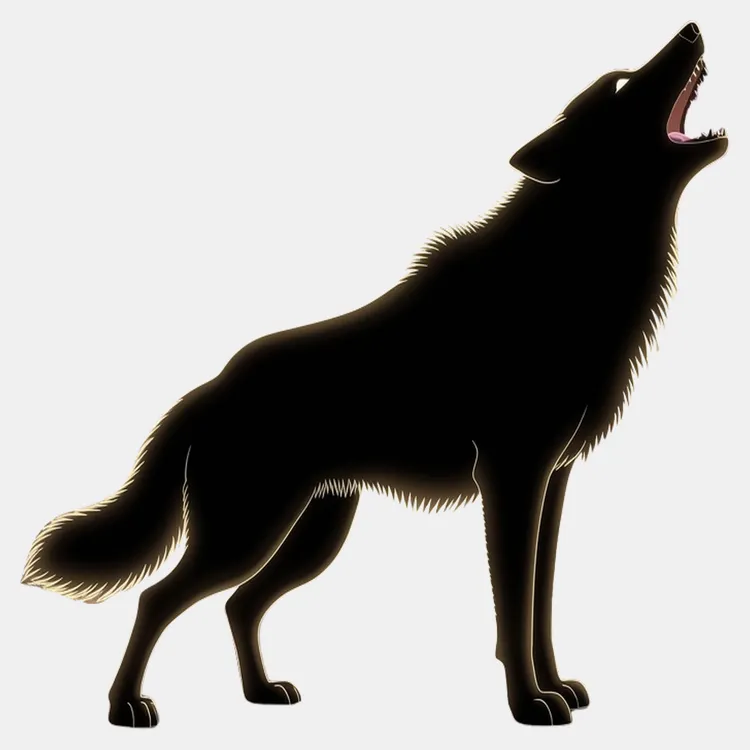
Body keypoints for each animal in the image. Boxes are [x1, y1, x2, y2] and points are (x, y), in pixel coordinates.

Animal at [22, 22, 727, 727]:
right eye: (623, 84)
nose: (692, 28)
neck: (576, 262)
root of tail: (206, 392)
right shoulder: (514, 479)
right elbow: (514, 608)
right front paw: (529, 703)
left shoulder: (553, 482)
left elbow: (542, 604)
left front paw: (556, 688)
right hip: (247, 534)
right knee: (159, 599)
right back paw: (126, 706)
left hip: (311, 536)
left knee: (238, 604)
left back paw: (261, 692)